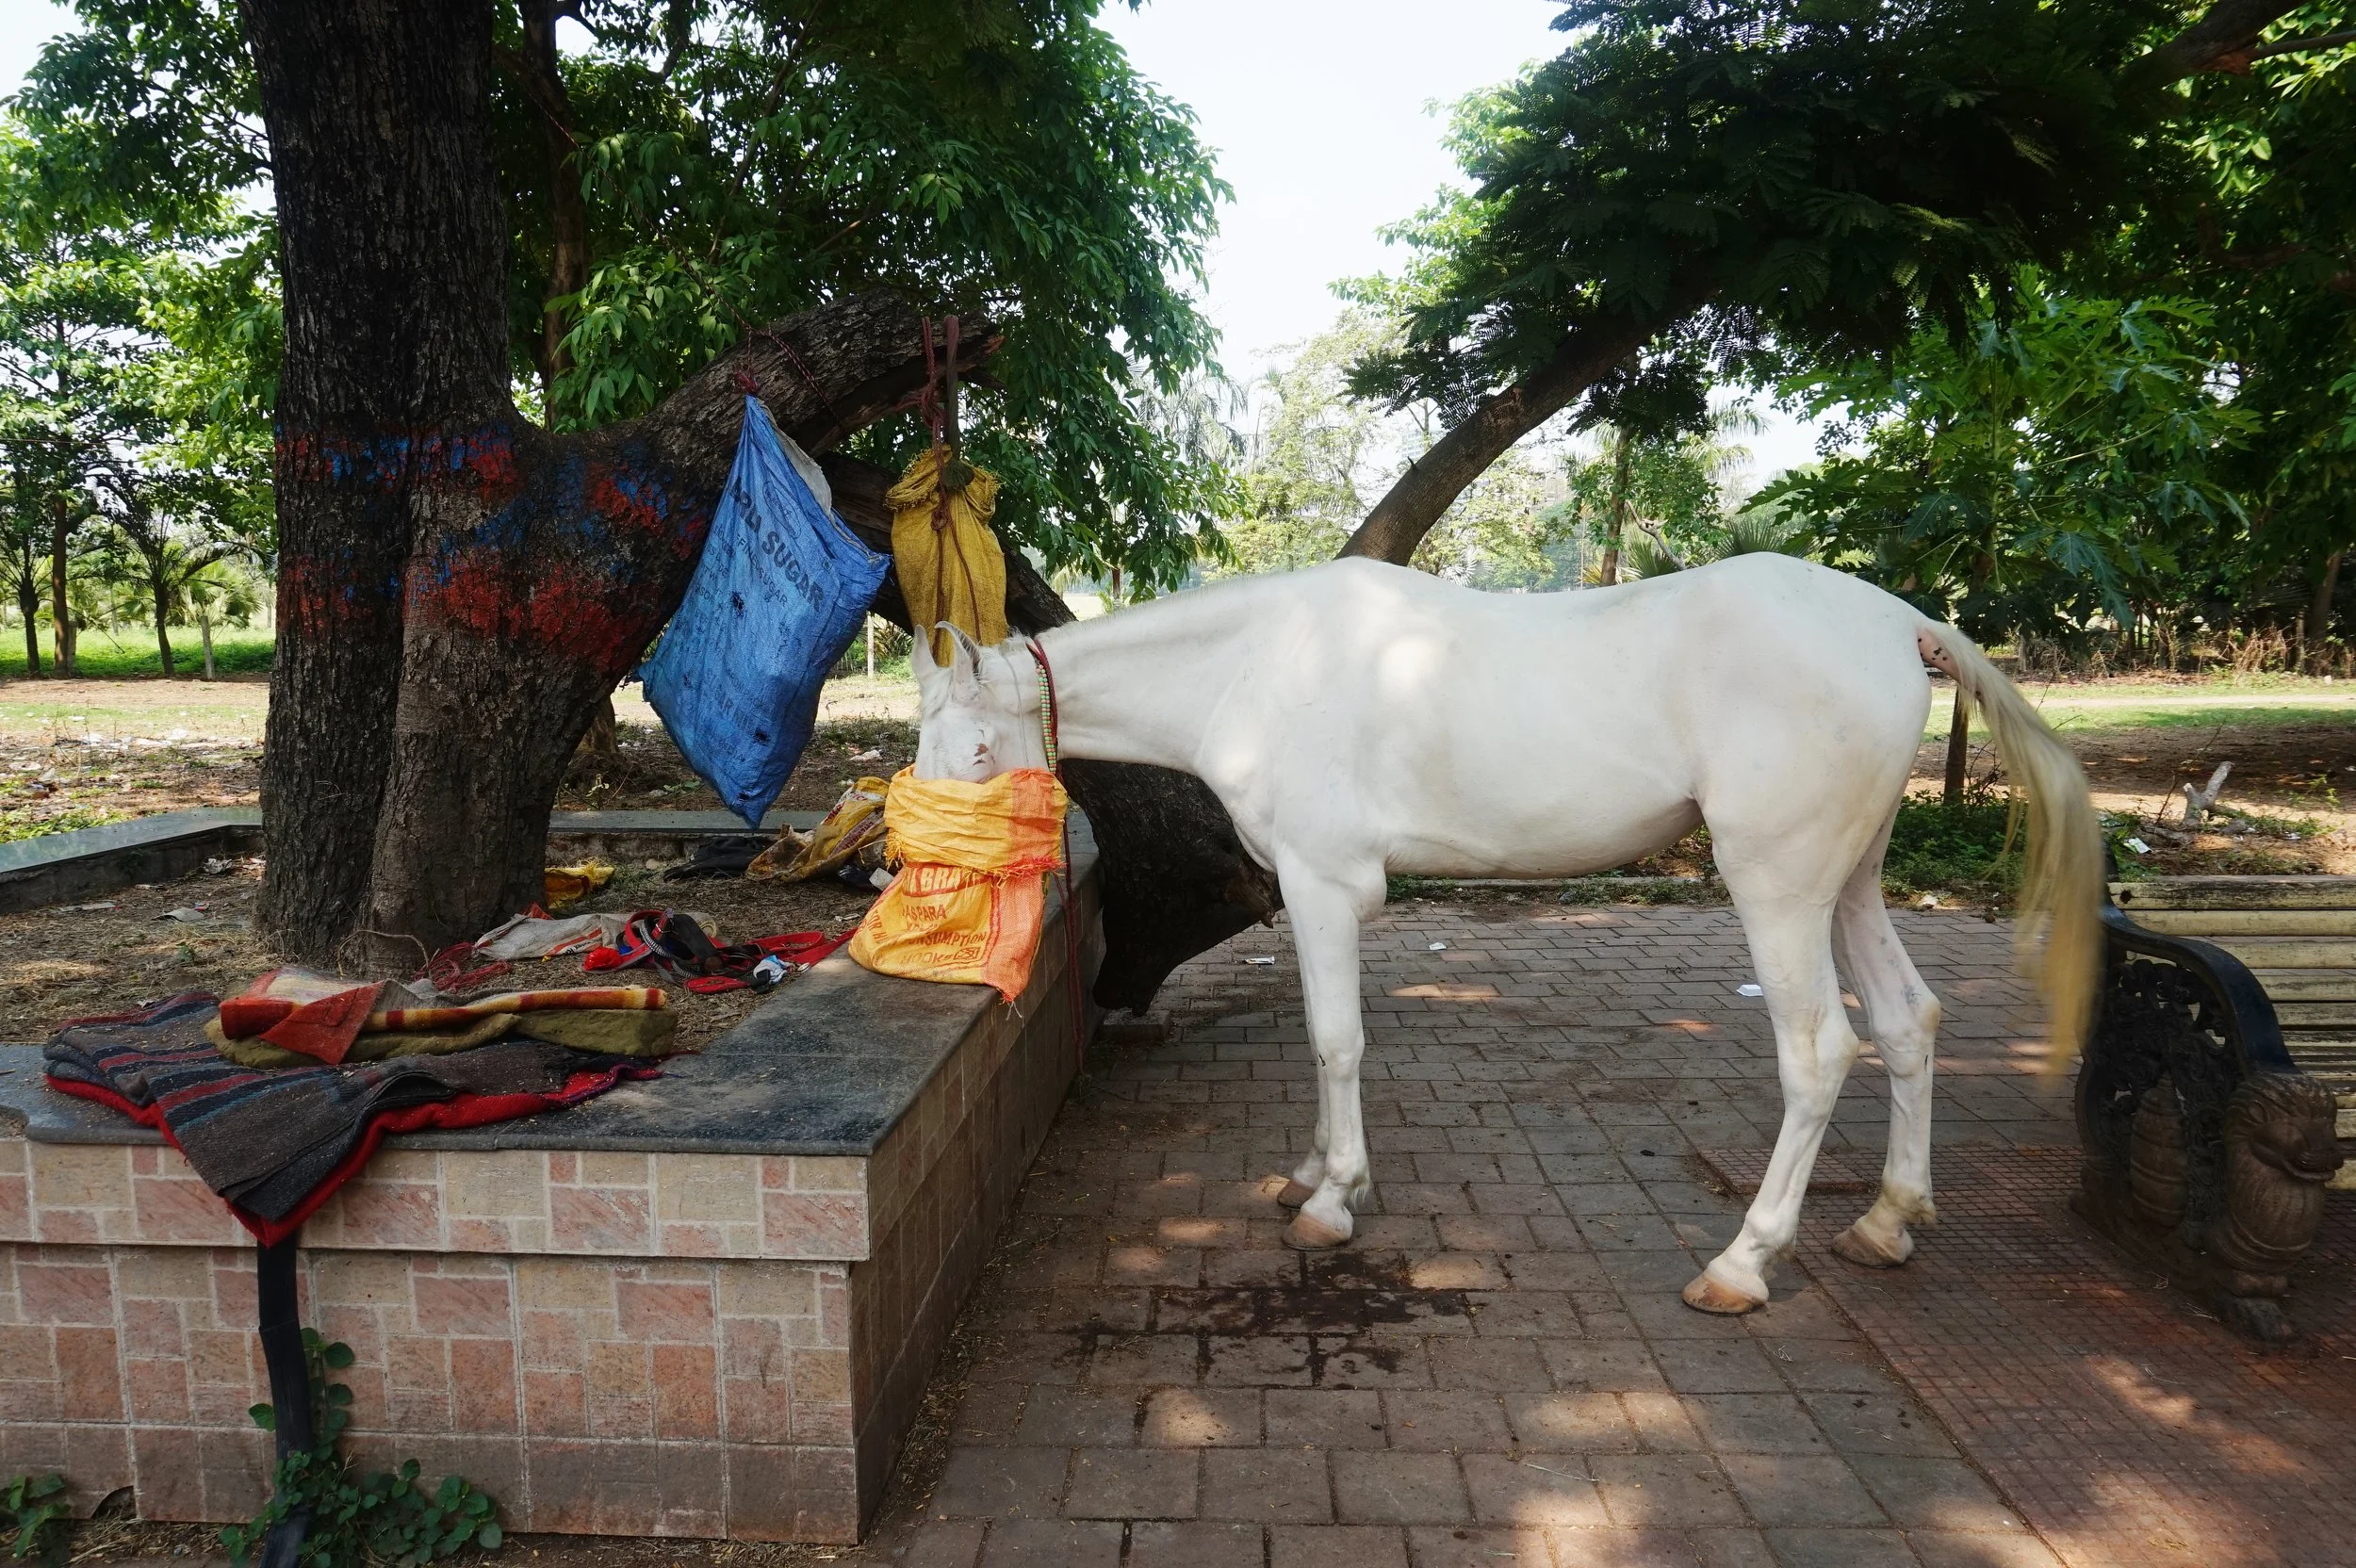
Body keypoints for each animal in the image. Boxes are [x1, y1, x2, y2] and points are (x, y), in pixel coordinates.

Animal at [909, 552, 2100, 1313]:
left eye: (976, 751)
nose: (919, 875)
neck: (1260, 662)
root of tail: (1898, 621)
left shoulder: (1323, 884)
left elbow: (1335, 1041)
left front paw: (1333, 1200)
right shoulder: (1307, 891)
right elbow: (1322, 1041)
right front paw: (1310, 1171)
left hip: (1779, 884)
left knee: (1819, 1052)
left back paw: (1742, 1263)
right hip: (1848, 881)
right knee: (1907, 1021)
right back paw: (1889, 1219)